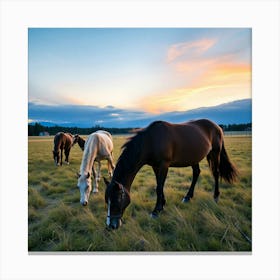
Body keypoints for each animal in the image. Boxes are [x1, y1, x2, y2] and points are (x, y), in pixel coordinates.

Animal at [104, 118, 237, 230]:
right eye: (107, 201)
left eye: (116, 200)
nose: (111, 226)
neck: (151, 140)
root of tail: (217, 126)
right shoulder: (155, 166)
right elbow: (159, 185)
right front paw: (162, 205)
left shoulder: (164, 165)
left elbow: (159, 187)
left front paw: (156, 211)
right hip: (194, 158)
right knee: (196, 173)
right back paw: (188, 197)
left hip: (215, 152)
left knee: (216, 173)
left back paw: (216, 196)